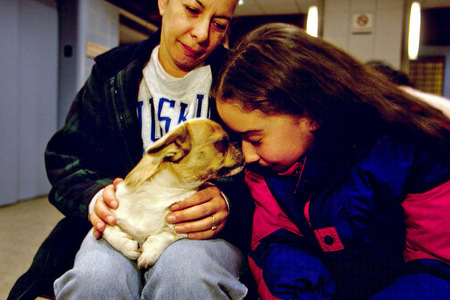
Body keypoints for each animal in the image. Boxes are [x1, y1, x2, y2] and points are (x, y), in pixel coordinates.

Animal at [102, 118, 244, 268]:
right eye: (223, 142)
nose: (238, 143)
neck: (165, 191)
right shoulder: (112, 212)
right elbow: (106, 227)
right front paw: (126, 246)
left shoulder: (187, 227)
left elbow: (167, 234)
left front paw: (150, 251)